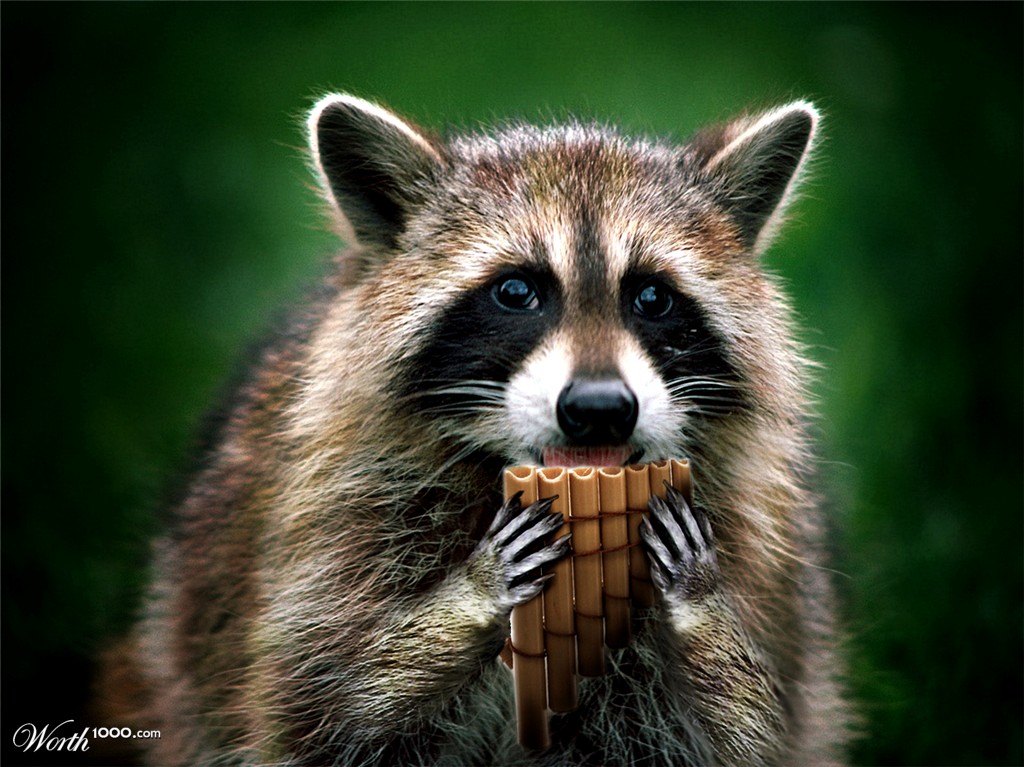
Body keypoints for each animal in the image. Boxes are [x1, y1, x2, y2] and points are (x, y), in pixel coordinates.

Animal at [111, 94, 848, 766]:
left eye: (652, 296)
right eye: (517, 291)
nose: (600, 408)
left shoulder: (762, 564)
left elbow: (741, 733)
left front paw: (696, 598)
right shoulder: (331, 541)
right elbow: (328, 714)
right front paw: (473, 591)